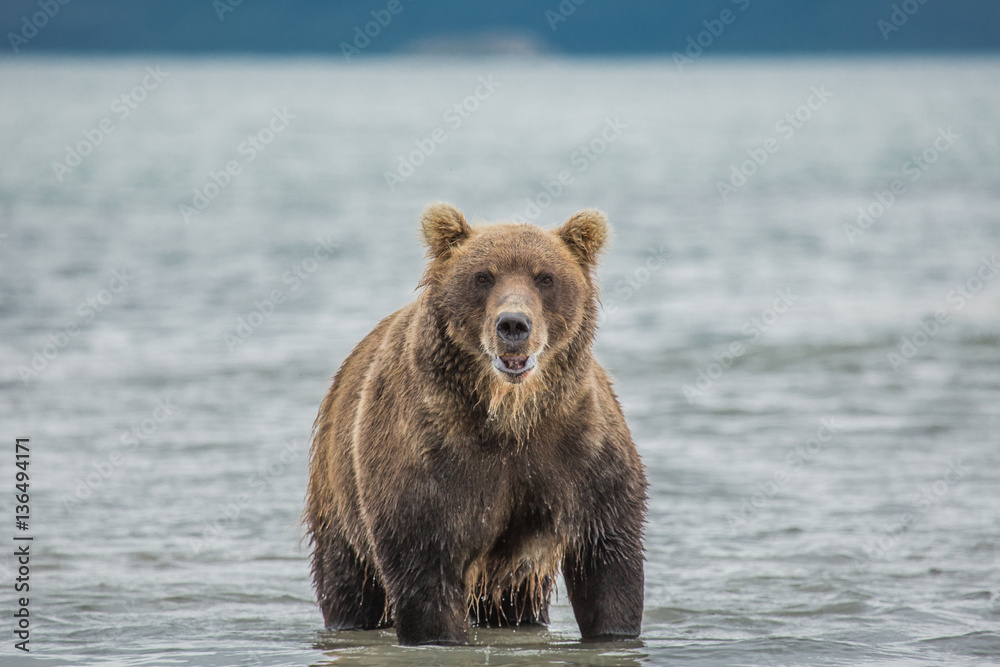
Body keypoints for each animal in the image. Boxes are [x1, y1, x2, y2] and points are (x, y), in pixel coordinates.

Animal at [304, 202, 647, 646]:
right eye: (483, 276)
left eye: (545, 277)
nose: (513, 324)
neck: (510, 414)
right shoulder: (429, 455)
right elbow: (424, 568)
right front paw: (440, 636)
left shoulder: (578, 448)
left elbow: (608, 560)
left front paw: (614, 631)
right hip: (337, 493)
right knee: (347, 580)